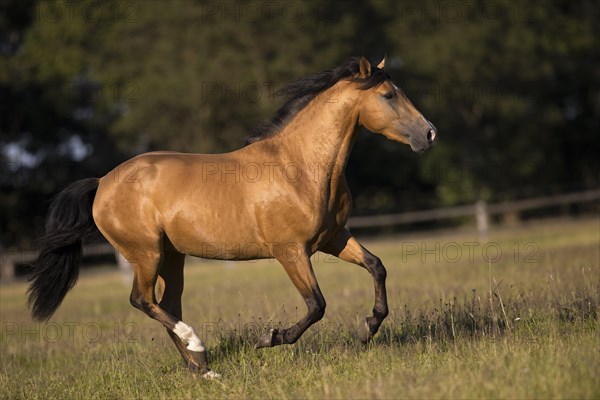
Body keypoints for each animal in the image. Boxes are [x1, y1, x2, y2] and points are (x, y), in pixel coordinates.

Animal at [27, 56, 436, 378]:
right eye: (388, 95)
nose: (429, 133)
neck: (300, 167)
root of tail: (102, 183)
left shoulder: (334, 238)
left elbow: (377, 266)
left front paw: (367, 329)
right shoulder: (291, 251)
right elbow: (316, 304)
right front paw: (271, 338)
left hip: (172, 256)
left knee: (167, 304)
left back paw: (203, 369)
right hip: (146, 254)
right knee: (142, 300)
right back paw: (197, 346)